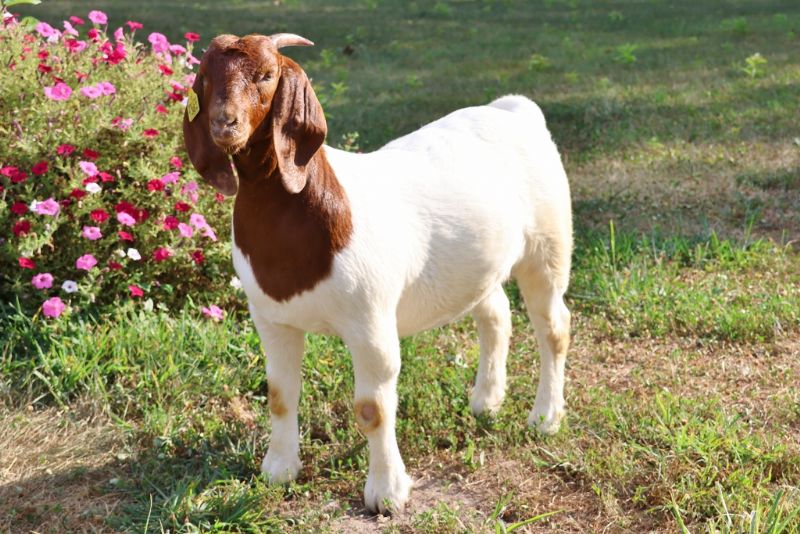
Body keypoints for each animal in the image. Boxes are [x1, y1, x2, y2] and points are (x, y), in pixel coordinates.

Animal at [183, 33, 572, 514]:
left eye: (267, 75)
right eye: (204, 78)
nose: (225, 124)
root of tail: (516, 111)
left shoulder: (369, 320)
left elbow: (373, 408)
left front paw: (387, 492)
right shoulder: (271, 318)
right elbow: (279, 395)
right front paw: (278, 470)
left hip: (548, 243)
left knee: (553, 326)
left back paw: (546, 417)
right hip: (478, 260)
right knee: (495, 312)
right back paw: (486, 400)